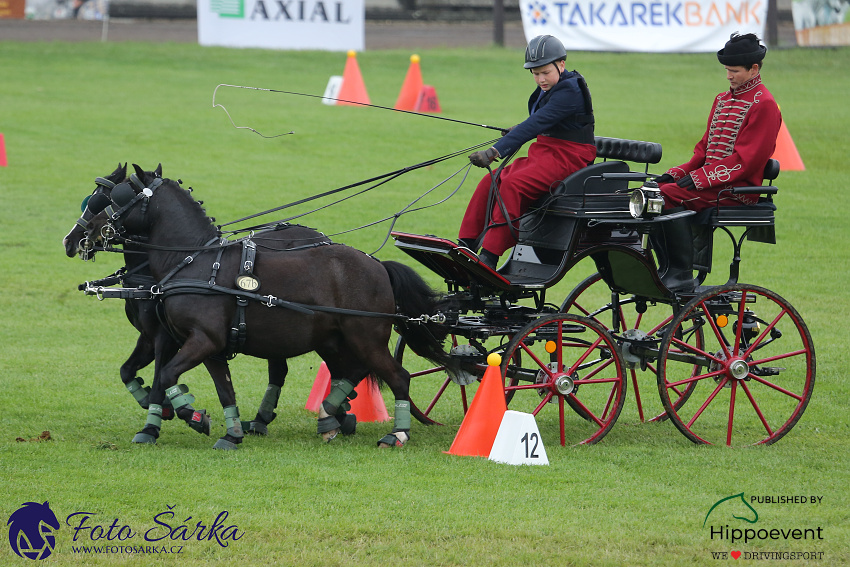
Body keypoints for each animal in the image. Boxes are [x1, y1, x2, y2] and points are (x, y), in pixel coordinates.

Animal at [83, 166, 448, 450]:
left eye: (113, 198)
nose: (83, 236)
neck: (194, 261)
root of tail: (377, 264)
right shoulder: (208, 346)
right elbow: (223, 390)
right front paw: (230, 433)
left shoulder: (200, 340)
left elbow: (168, 374)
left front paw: (193, 417)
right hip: (334, 339)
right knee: (353, 371)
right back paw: (330, 417)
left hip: (365, 337)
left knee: (398, 376)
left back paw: (396, 434)